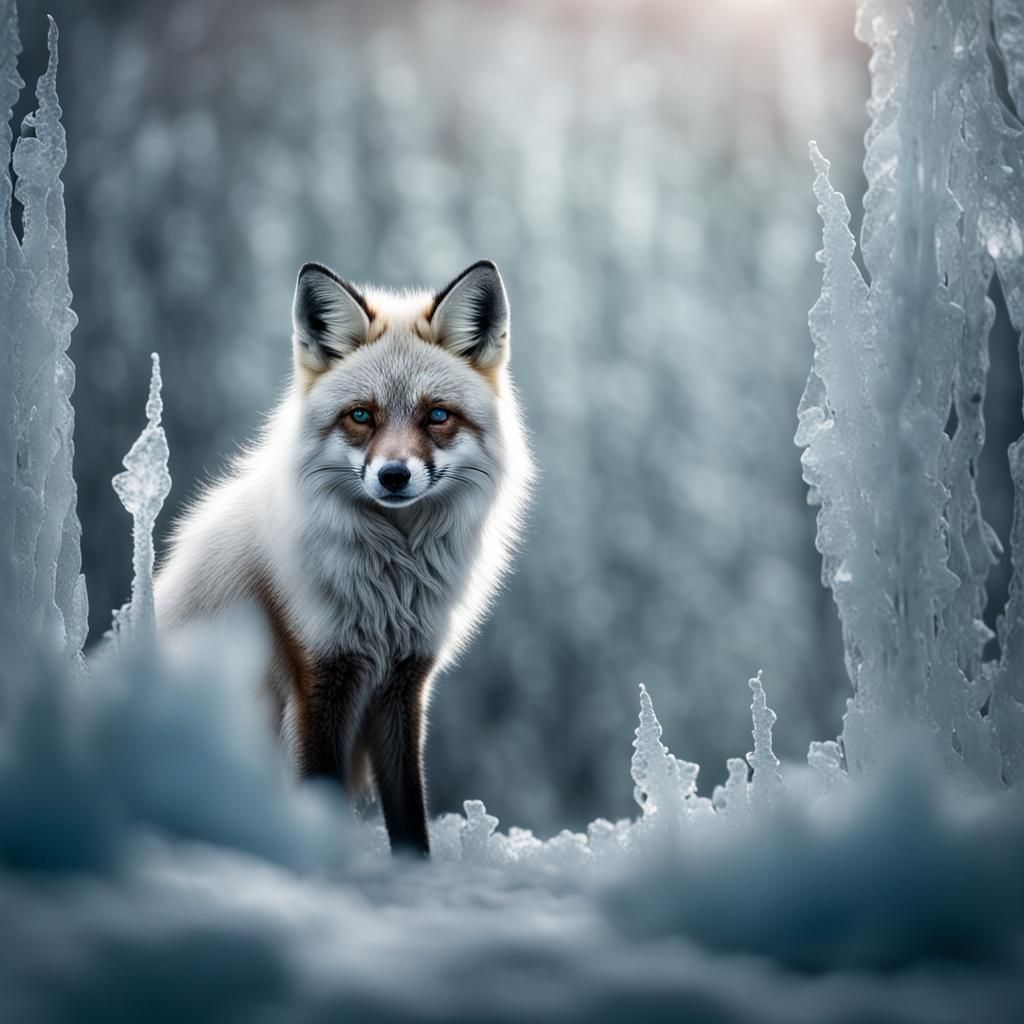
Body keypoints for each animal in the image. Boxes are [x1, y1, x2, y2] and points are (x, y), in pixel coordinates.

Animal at [154, 259, 532, 856]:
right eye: (361, 415)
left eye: (436, 416)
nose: (394, 475)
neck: (390, 583)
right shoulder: (318, 674)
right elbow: (321, 794)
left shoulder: (403, 682)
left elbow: (409, 814)